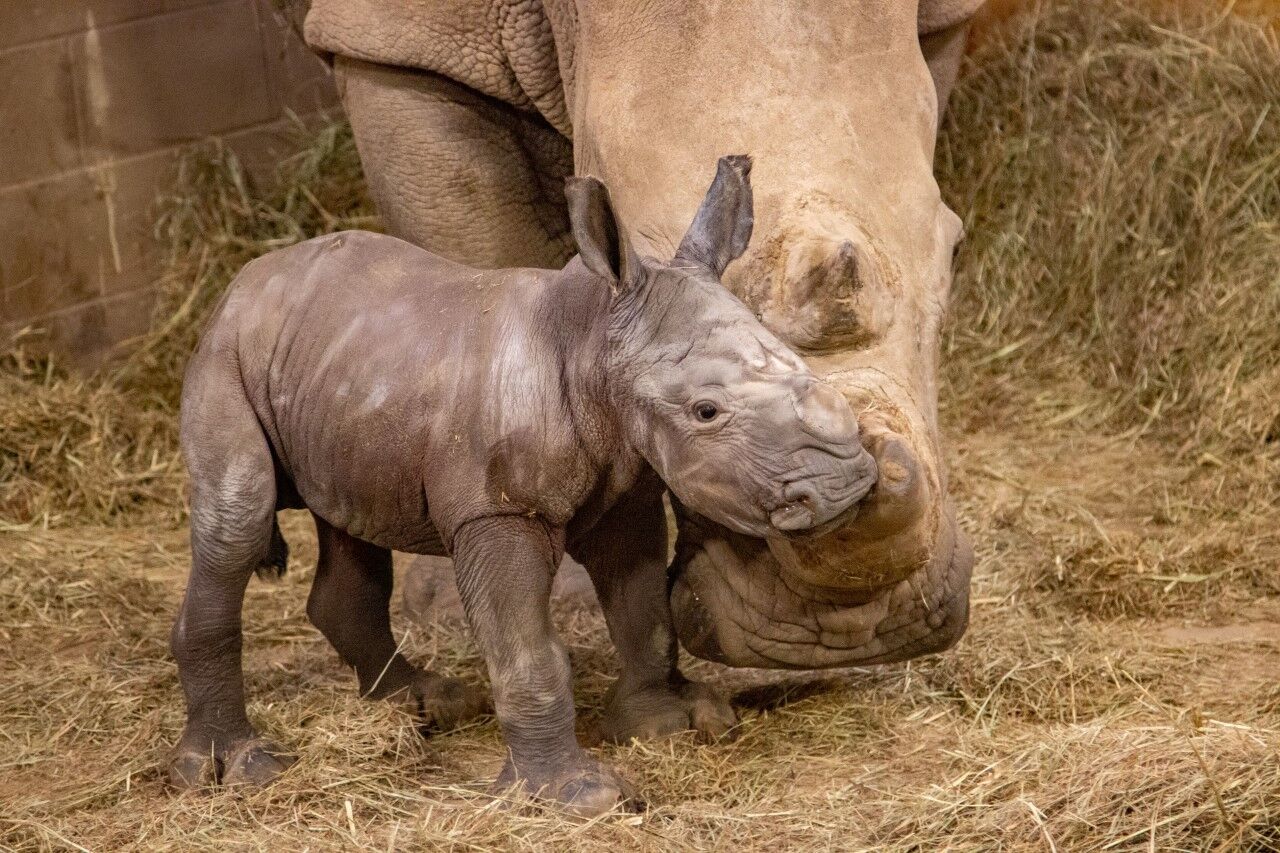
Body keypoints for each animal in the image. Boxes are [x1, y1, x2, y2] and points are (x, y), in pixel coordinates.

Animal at [171, 157, 878, 814]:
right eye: (706, 412)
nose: (846, 485)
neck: (595, 338)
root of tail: (245, 283)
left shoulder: (625, 487)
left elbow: (642, 607)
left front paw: (669, 724)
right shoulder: (495, 510)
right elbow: (528, 651)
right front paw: (580, 796)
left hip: (341, 371)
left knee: (347, 520)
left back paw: (426, 707)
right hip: (226, 357)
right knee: (238, 519)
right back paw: (239, 769)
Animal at [284, 0, 979, 672]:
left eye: (952, 252)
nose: (847, 636)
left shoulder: (942, 21)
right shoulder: (399, 41)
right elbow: (472, 253)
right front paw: (509, 594)